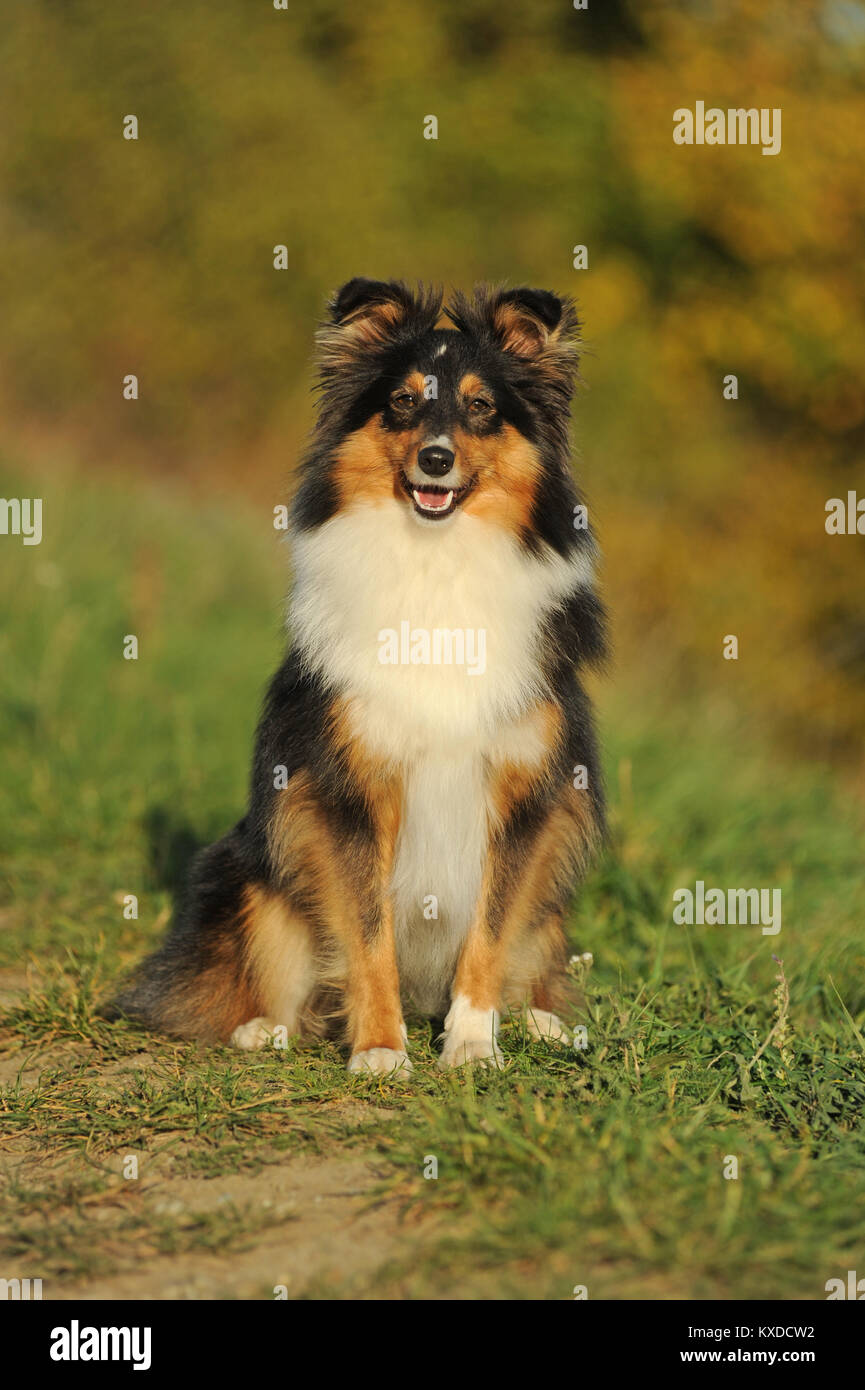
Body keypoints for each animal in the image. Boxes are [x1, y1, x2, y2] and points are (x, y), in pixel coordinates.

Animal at [111, 273, 606, 1073]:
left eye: (481, 408)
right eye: (402, 401)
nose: (434, 460)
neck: (437, 561)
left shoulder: (527, 796)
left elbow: (489, 932)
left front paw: (472, 1045)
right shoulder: (346, 788)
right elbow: (368, 932)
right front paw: (379, 1049)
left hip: (550, 906)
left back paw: (542, 1023)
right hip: (250, 870)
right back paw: (264, 1030)